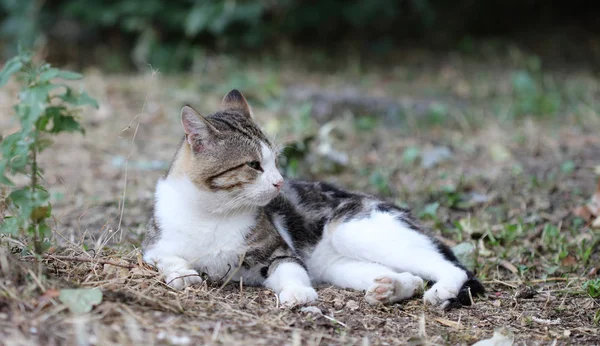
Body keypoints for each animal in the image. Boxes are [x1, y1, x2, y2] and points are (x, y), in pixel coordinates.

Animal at [143, 89, 486, 308]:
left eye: (275, 161)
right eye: (254, 165)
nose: (280, 182)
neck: (213, 213)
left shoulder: (279, 255)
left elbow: (292, 271)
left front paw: (298, 294)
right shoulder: (151, 247)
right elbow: (166, 257)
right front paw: (182, 274)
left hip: (355, 229)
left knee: (454, 268)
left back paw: (440, 292)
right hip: (338, 265)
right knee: (411, 276)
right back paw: (390, 289)